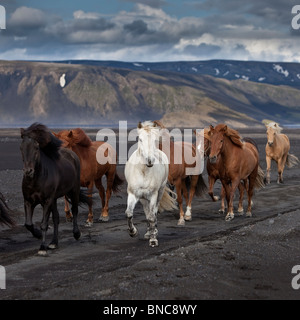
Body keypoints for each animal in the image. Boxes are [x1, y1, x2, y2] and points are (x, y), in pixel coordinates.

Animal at [20, 124, 90, 256]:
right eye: (21, 148)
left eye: (36, 148)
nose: (28, 171)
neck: (36, 179)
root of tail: (72, 154)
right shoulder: (28, 201)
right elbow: (28, 224)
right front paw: (38, 235)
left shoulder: (47, 201)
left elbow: (44, 224)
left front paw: (42, 248)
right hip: (54, 199)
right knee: (56, 218)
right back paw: (54, 242)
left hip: (74, 191)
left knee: (75, 210)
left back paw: (76, 233)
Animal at [125, 120, 177, 248]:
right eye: (140, 139)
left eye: (154, 140)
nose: (149, 160)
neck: (143, 171)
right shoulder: (133, 194)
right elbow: (129, 213)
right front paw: (133, 232)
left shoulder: (153, 195)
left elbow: (152, 216)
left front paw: (153, 240)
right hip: (143, 198)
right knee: (146, 211)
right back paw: (148, 232)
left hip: (160, 192)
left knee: (153, 212)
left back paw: (153, 231)